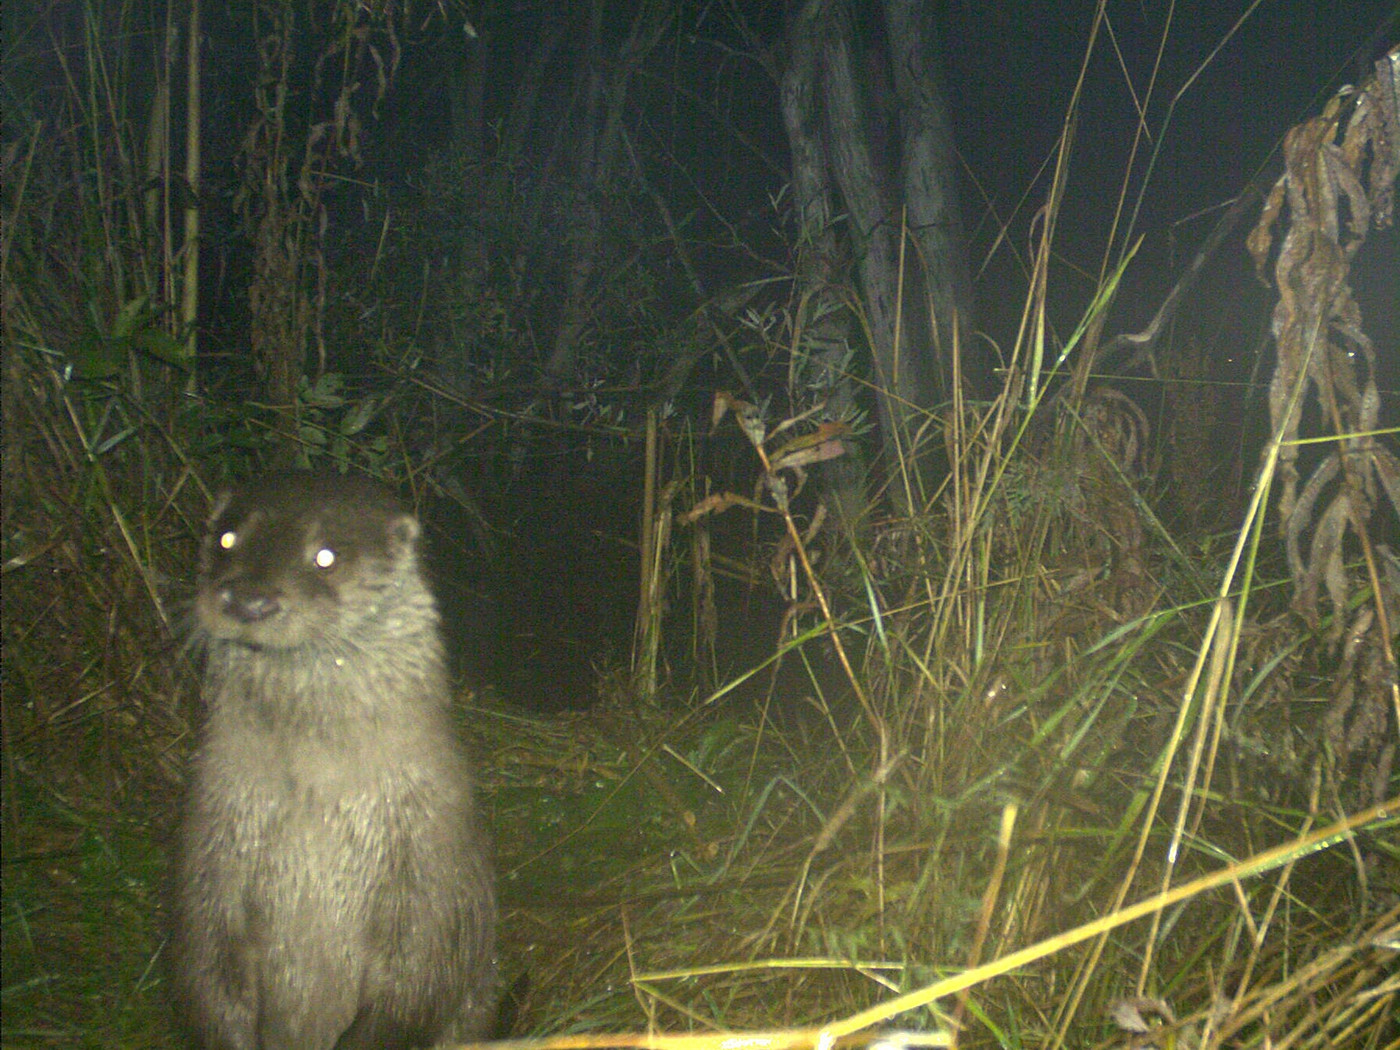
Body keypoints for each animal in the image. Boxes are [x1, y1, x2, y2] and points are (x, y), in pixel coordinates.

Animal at [168, 476, 498, 1050]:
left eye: (325, 557)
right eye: (228, 539)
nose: (248, 599)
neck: (316, 794)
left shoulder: (431, 845)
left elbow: (420, 974)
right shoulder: (212, 835)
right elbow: (207, 966)